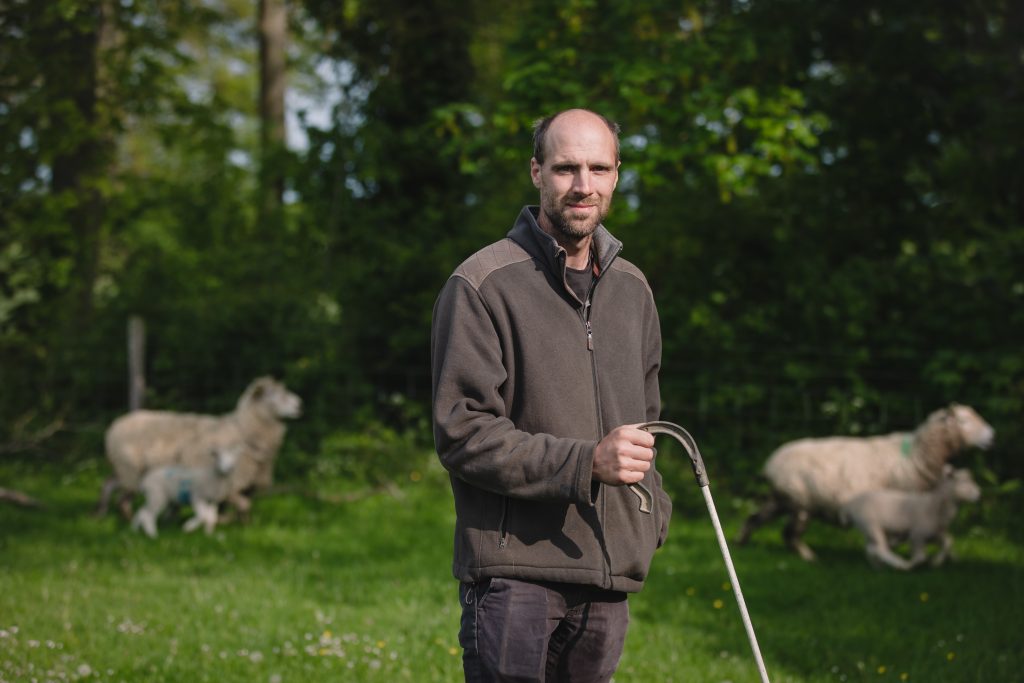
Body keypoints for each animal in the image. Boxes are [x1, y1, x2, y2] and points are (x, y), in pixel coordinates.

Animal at [96, 376, 301, 520]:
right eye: (275, 394)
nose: (300, 404)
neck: (243, 430)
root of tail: (115, 425)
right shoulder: (226, 482)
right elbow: (242, 505)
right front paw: (228, 521)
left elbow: (236, 505)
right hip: (130, 470)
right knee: (122, 499)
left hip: (125, 471)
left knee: (108, 485)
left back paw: (101, 514)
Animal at [737, 401, 991, 561]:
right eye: (964, 421)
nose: (992, 436)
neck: (918, 454)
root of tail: (771, 462)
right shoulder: (904, 500)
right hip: (800, 504)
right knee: (789, 533)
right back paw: (809, 556)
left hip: (782, 499)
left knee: (755, 518)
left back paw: (742, 542)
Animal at [839, 464, 983, 573]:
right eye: (964, 482)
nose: (979, 495)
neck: (935, 507)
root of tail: (850, 504)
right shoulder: (917, 535)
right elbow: (920, 557)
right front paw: (910, 566)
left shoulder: (936, 533)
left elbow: (949, 542)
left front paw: (939, 561)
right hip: (872, 525)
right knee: (880, 549)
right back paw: (899, 563)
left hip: (868, 529)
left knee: (871, 549)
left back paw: (879, 567)